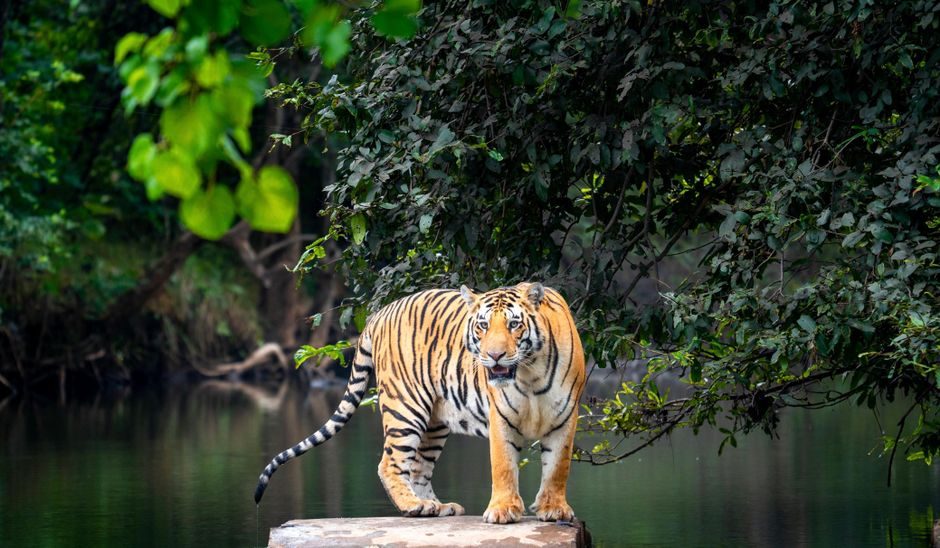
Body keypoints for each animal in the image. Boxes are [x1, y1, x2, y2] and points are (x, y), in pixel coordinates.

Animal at [253, 282, 586, 524]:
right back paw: (414, 505)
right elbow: (503, 465)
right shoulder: (501, 418)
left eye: (514, 325)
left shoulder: (565, 417)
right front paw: (503, 511)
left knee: (417, 468)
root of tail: (380, 312)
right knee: (390, 464)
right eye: (482, 326)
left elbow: (557, 467)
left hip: (435, 421)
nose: (494, 356)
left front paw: (553, 509)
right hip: (406, 408)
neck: (530, 374)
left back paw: (435, 506)